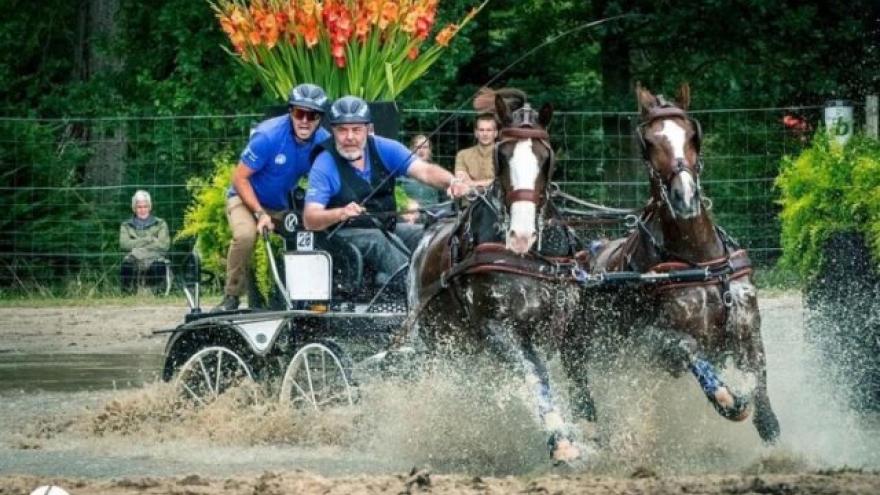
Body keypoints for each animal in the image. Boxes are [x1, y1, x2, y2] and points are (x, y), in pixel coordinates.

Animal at [406, 89, 592, 464]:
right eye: (502, 156)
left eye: (545, 158)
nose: (521, 235)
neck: (530, 258)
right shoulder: (499, 327)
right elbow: (536, 374)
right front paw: (560, 439)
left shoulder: (567, 322)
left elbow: (577, 374)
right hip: (438, 343)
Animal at [560, 83, 780, 444]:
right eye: (648, 143)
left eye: (692, 134)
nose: (685, 196)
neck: (700, 262)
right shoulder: (654, 345)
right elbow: (687, 347)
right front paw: (726, 398)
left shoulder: (748, 330)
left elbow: (764, 400)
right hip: (580, 344)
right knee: (577, 377)